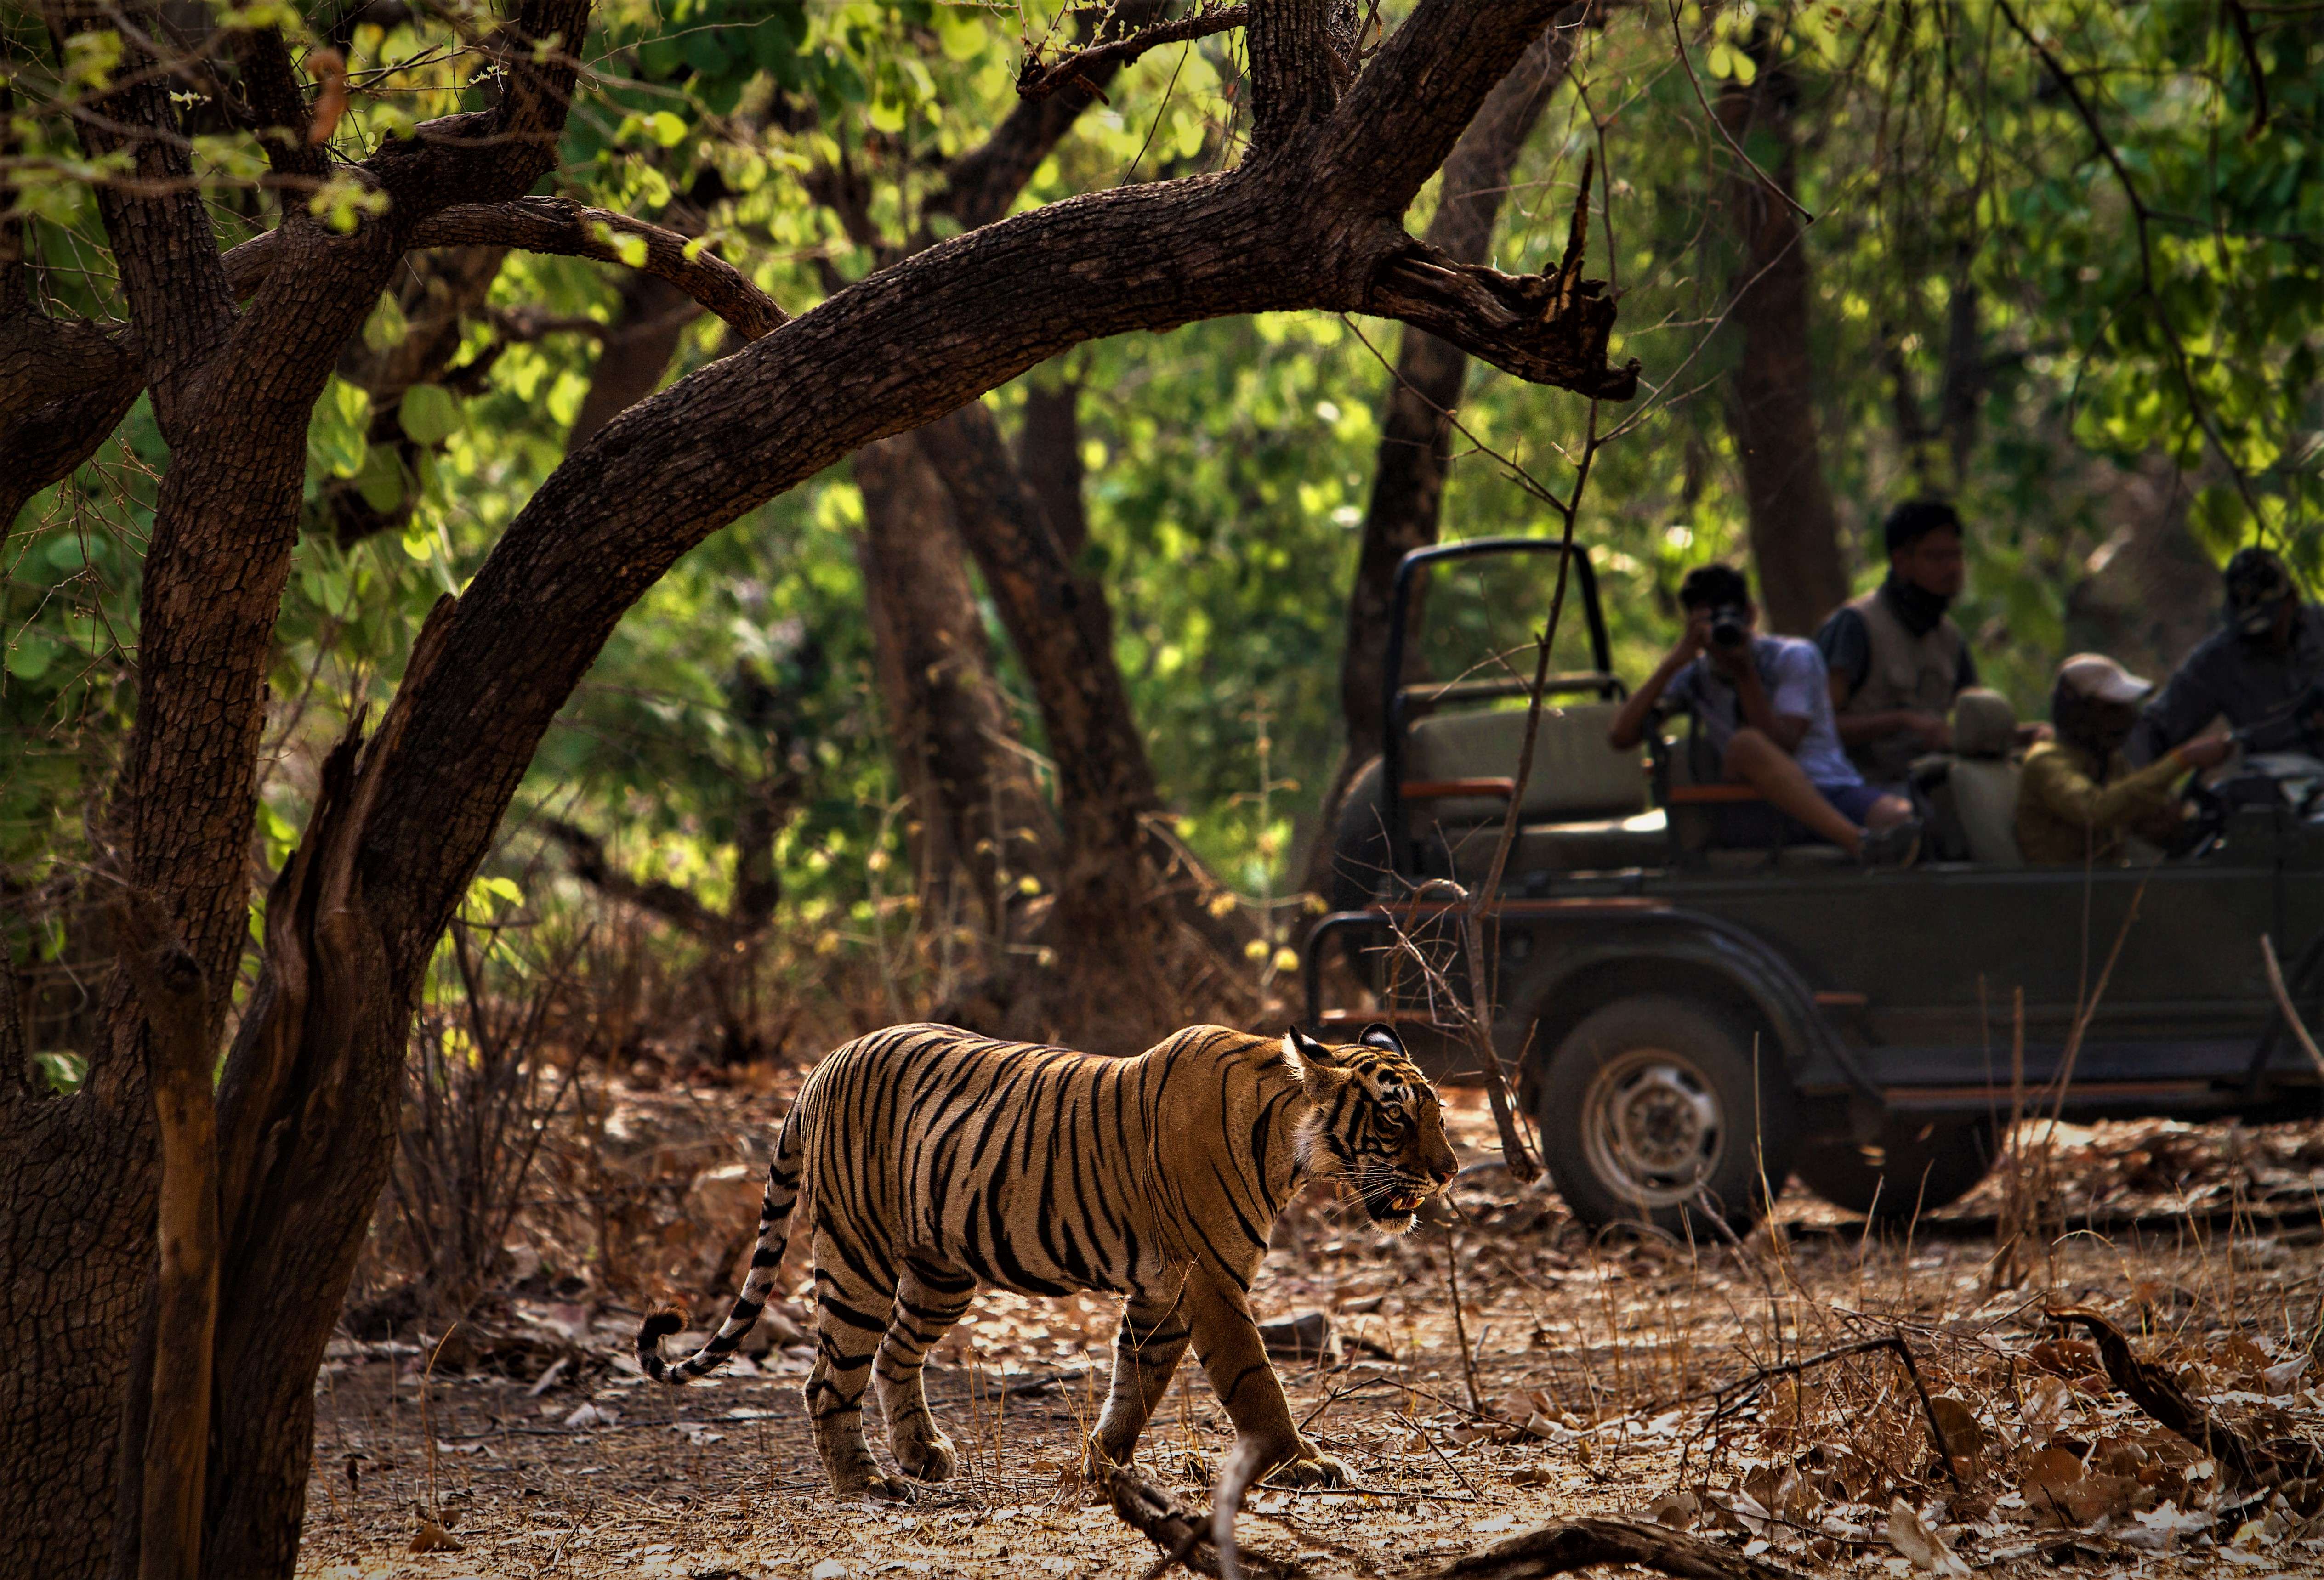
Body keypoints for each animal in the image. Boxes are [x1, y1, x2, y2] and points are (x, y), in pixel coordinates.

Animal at [636, 1020, 1459, 1501]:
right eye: (1394, 1113)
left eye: (1439, 1112)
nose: (1451, 1170)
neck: (1288, 1143)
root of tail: (820, 1066)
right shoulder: (1210, 1280)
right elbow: (1255, 1383)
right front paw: (1303, 1463)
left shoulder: (1163, 1291)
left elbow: (1137, 1381)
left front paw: (1105, 1464)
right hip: (857, 1255)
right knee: (826, 1377)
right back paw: (865, 1479)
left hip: (941, 1270)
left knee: (895, 1354)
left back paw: (922, 1453)